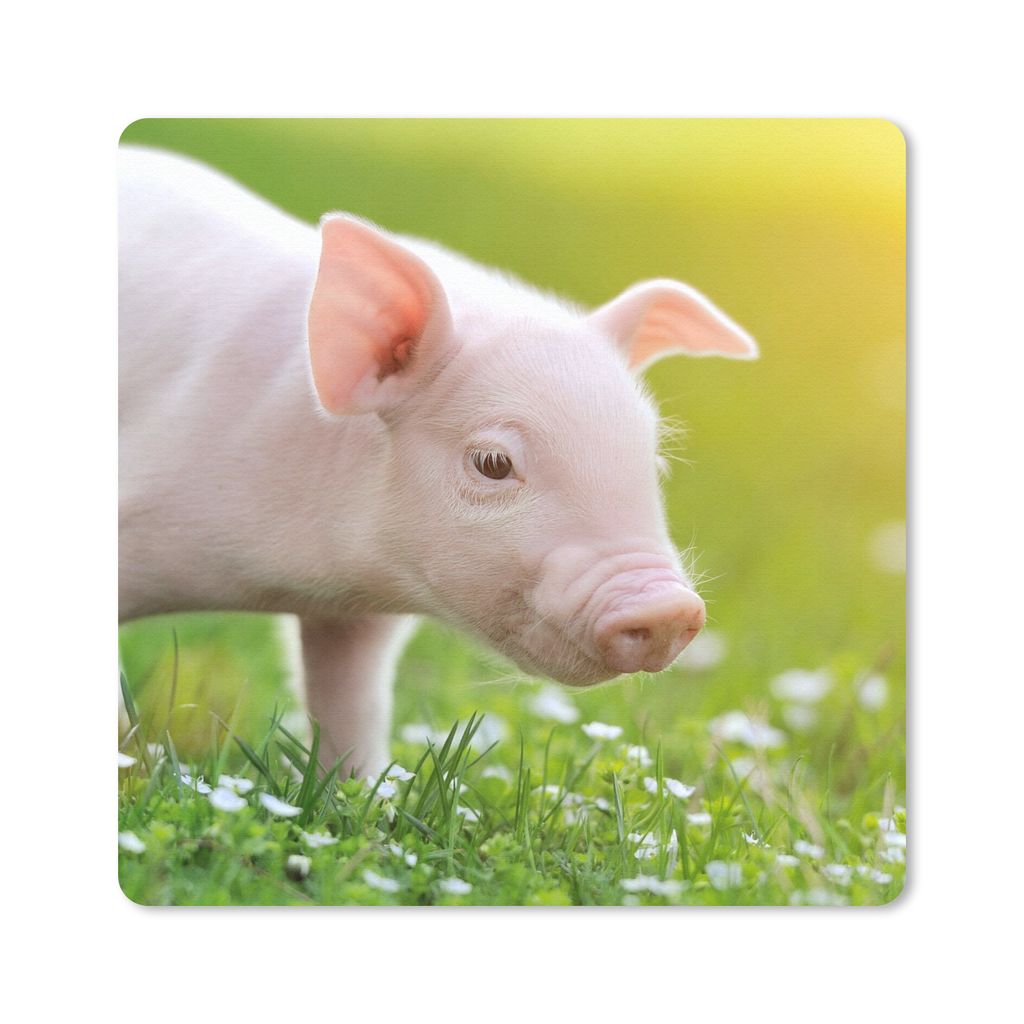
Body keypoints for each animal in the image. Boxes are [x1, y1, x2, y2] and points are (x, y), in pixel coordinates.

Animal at [119, 145, 757, 777]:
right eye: (493, 462)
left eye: (654, 462)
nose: (669, 606)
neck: (283, 580)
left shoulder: (354, 617)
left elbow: (352, 704)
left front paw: (358, 788)